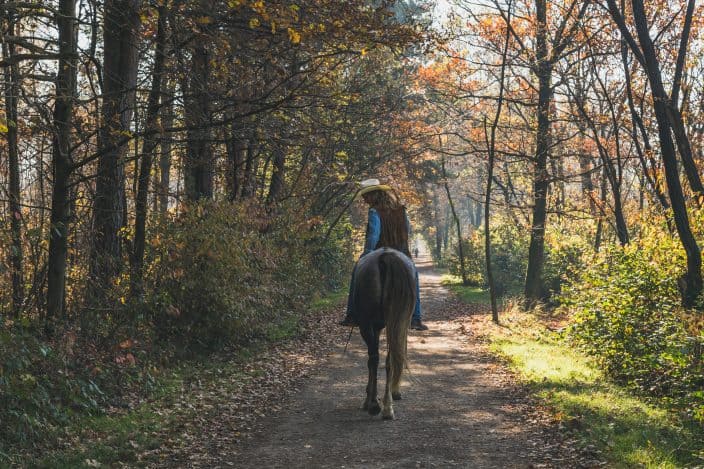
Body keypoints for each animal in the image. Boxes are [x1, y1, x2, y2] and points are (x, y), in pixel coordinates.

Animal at [350, 247, 416, 418]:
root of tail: (385, 256)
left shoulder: (372, 326)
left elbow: (371, 361)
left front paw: (369, 398)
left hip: (366, 325)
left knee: (374, 359)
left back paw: (374, 404)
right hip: (398, 323)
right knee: (390, 359)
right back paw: (388, 407)